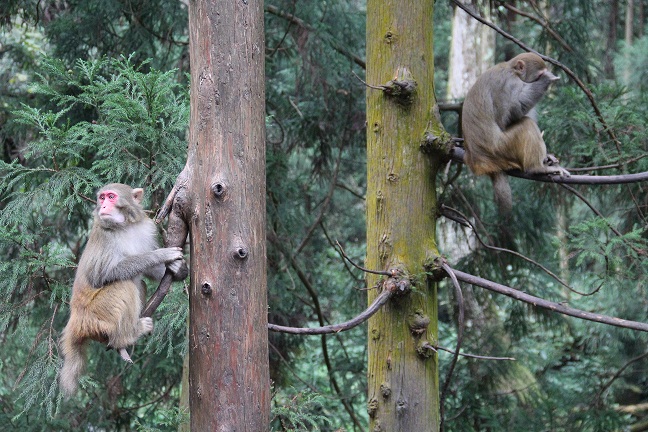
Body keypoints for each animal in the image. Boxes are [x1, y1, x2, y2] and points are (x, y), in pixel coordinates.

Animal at [58, 183, 187, 398]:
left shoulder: (146, 228)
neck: (125, 226)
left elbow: (149, 272)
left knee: (139, 284)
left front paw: (178, 269)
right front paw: (160, 255)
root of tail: (75, 318)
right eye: (101, 198)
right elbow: (102, 274)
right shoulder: (104, 236)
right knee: (125, 284)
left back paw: (122, 344)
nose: (102, 206)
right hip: (95, 313)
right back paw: (126, 336)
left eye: (111, 197)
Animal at [460, 51, 568, 213]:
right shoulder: (509, 84)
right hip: (501, 148)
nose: (543, 78)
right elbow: (509, 116)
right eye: (539, 75)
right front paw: (546, 80)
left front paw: (548, 157)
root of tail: (479, 161)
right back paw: (536, 168)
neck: (512, 69)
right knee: (526, 124)